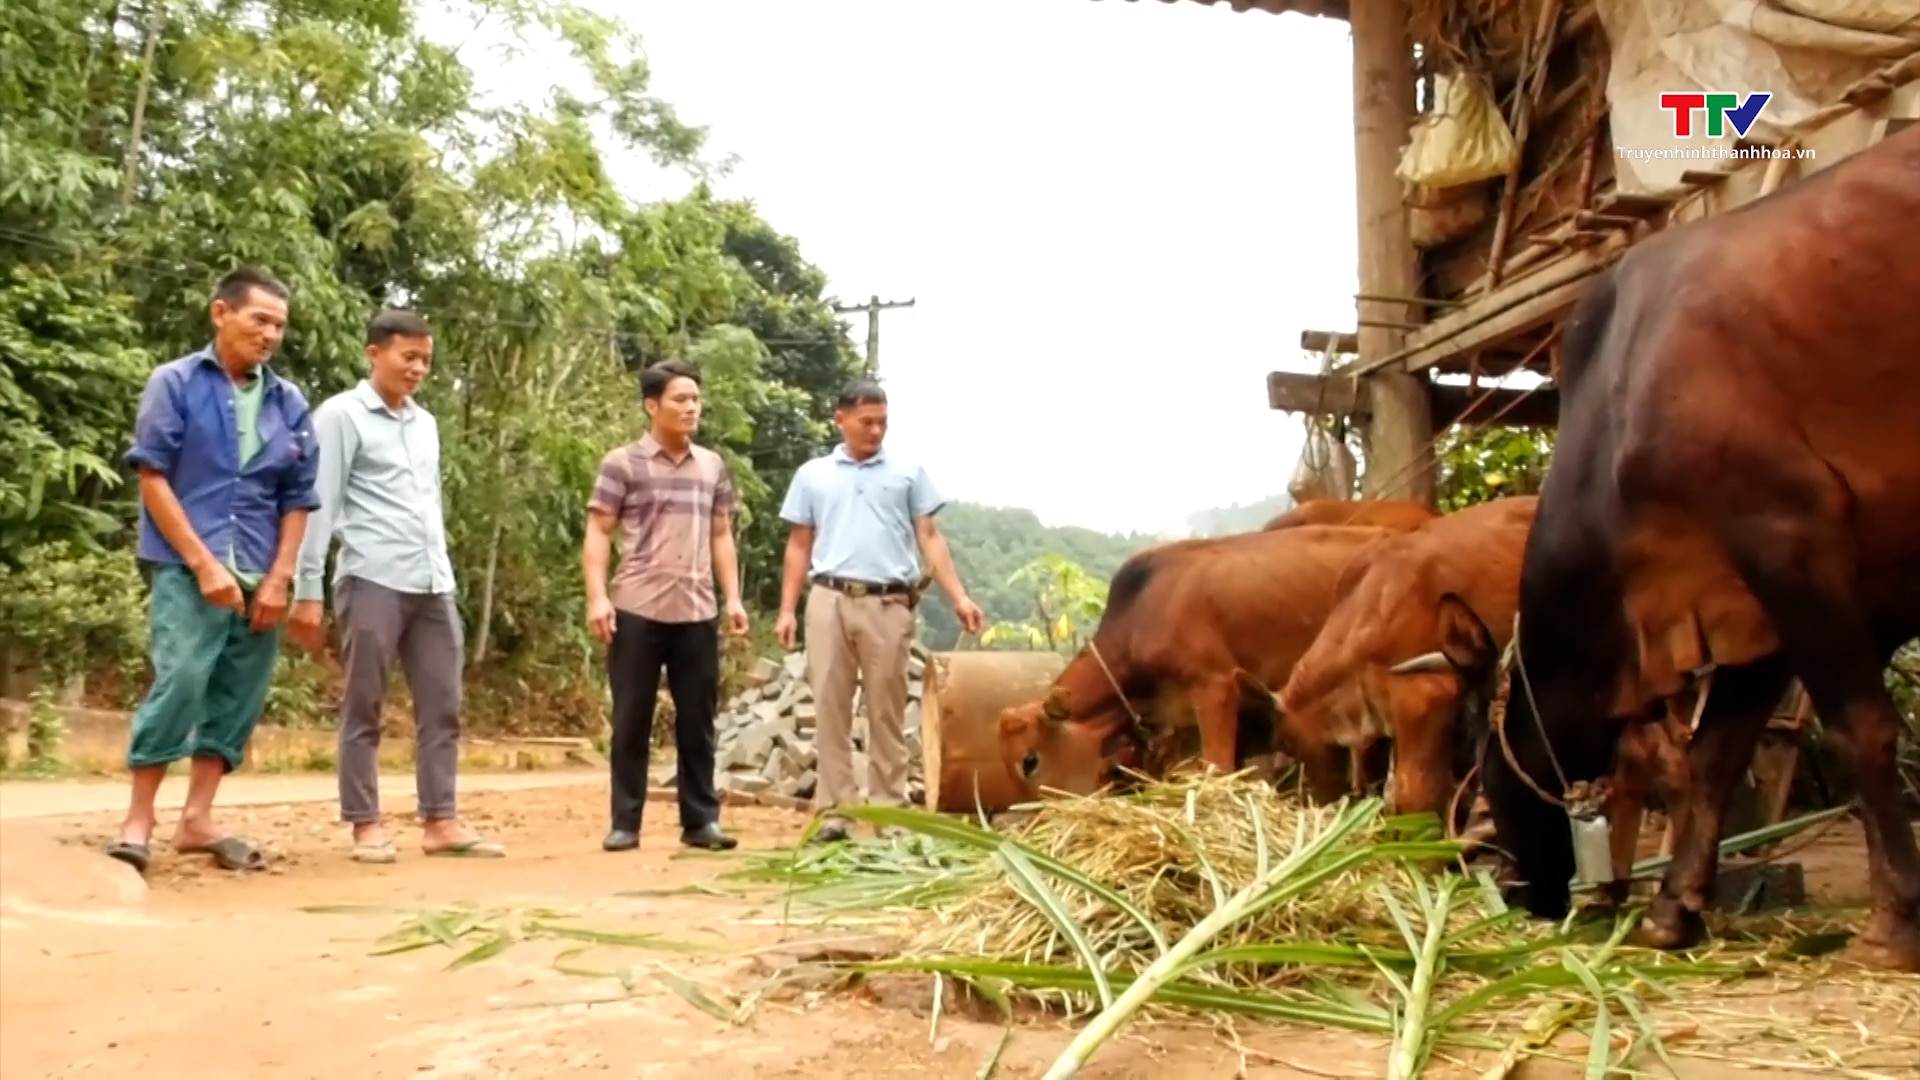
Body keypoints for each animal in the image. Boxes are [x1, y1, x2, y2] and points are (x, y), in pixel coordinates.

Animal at [1413, 122, 1920, 972]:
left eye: (1477, 758)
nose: (1514, 886)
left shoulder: (1791, 536)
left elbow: (1862, 730)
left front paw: (1894, 925)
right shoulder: (1758, 605)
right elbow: (1716, 754)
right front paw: (1673, 909)